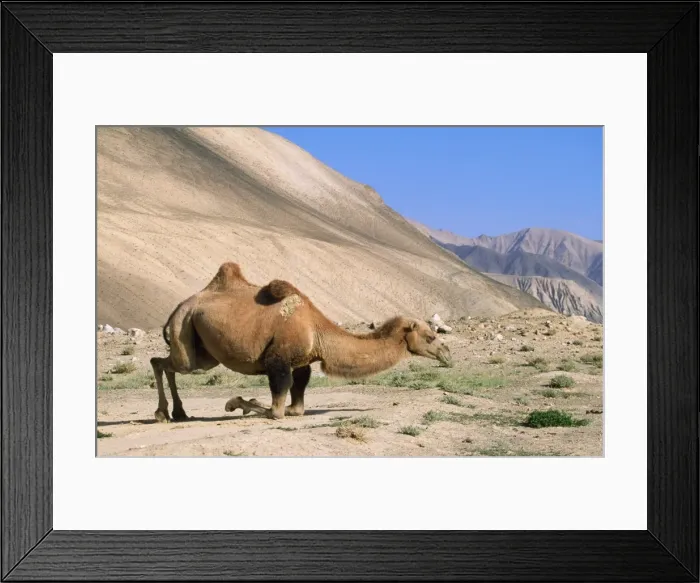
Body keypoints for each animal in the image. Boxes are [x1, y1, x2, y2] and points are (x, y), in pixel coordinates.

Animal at [150, 262, 452, 423]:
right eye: (430, 336)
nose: (447, 353)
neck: (318, 332)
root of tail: (178, 307)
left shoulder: (302, 365)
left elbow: (296, 407)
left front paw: (245, 403)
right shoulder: (278, 362)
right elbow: (277, 411)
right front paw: (235, 403)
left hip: (204, 351)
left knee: (166, 363)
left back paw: (176, 413)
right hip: (184, 329)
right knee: (162, 362)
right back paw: (165, 413)